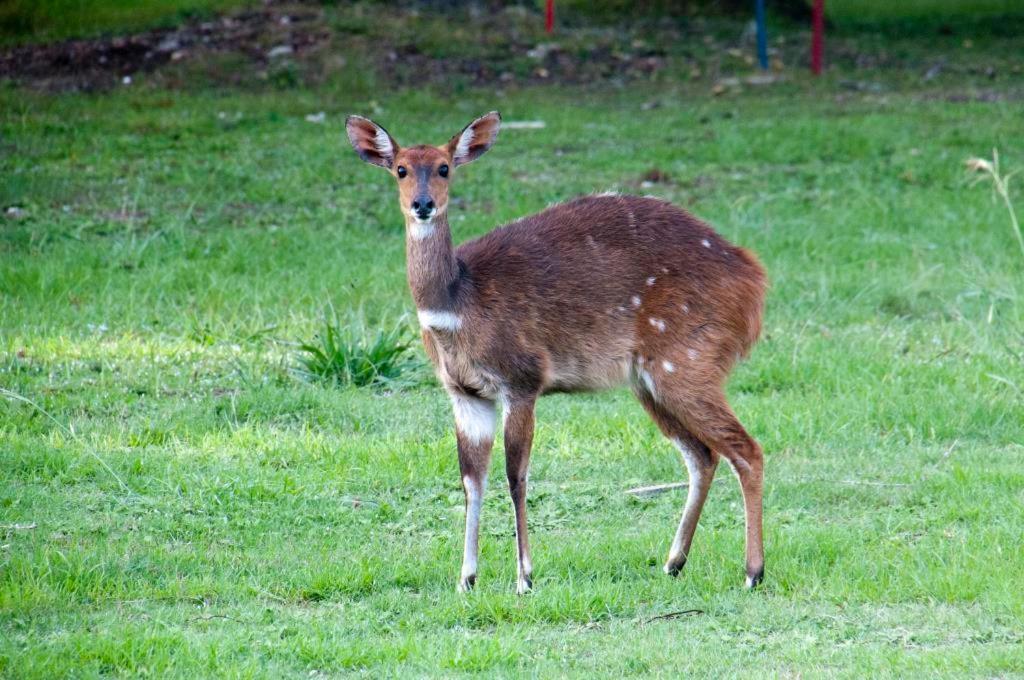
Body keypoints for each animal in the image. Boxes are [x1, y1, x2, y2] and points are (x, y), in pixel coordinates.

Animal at [348, 111, 765, 593]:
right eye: (400, 168)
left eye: (444, 167)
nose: (422, 204)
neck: (458, 303)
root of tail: (755, 282)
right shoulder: (464, 394)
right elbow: (471, 479)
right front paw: (466, 580)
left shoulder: (522, 381)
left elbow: (516, 475)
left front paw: (524, 579)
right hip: (650, 381)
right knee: (702, 456)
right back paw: (673, 563)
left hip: (686, 363)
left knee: (746, 450)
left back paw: (753, 572)